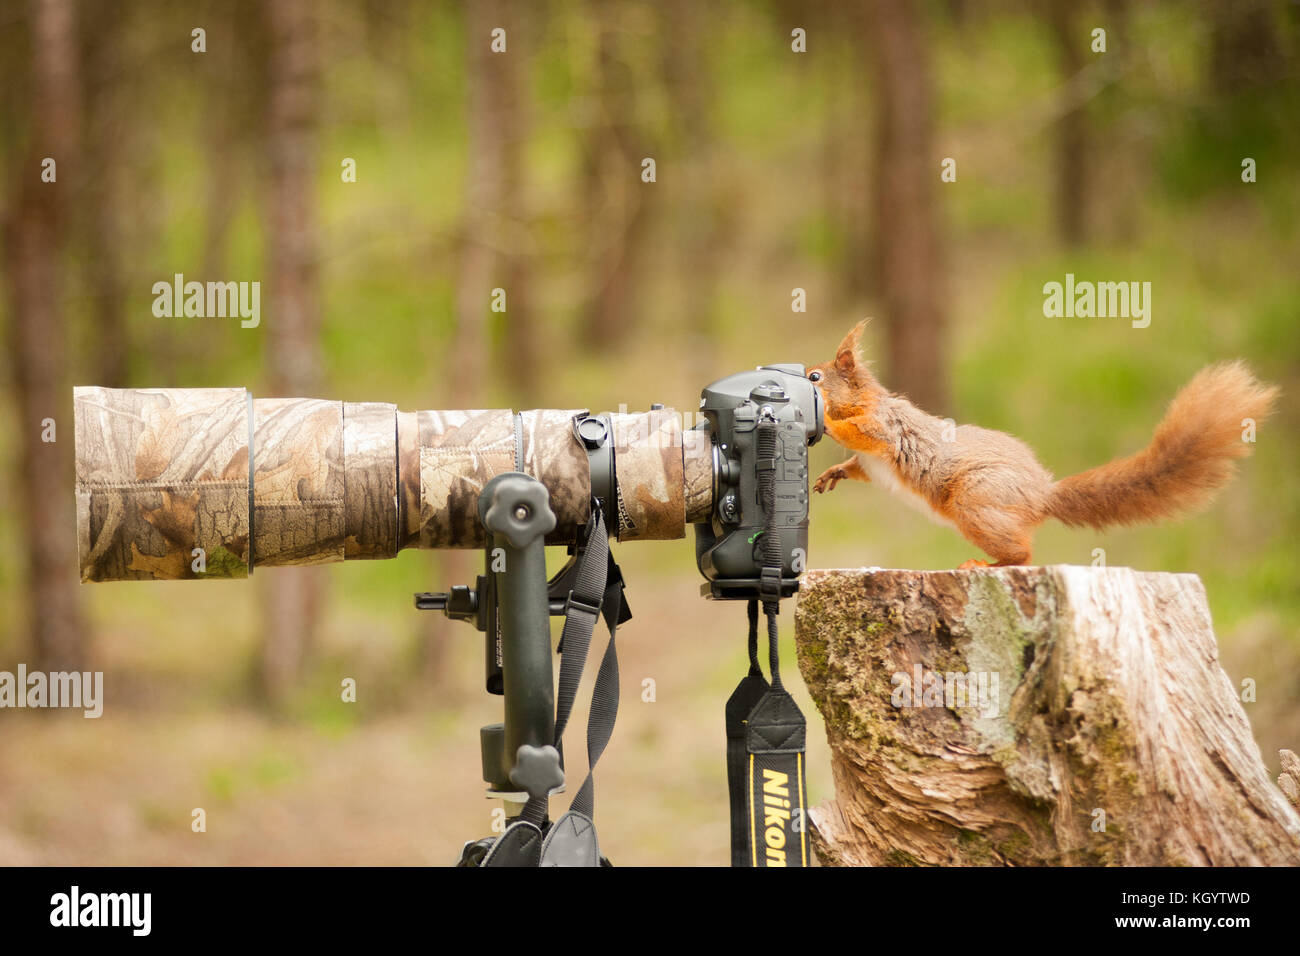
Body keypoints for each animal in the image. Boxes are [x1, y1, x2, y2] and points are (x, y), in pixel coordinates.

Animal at [811, 325, 1279, 572]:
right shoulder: (871, 462)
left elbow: (859, 434)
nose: (804, 377)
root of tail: (1041, 497)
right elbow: (856, 465)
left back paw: (986, 565)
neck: (864, 399)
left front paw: (828, 420)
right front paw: (832, 473)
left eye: (815, 376)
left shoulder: (883, 429)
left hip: (975, 501)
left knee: (1022, 554)